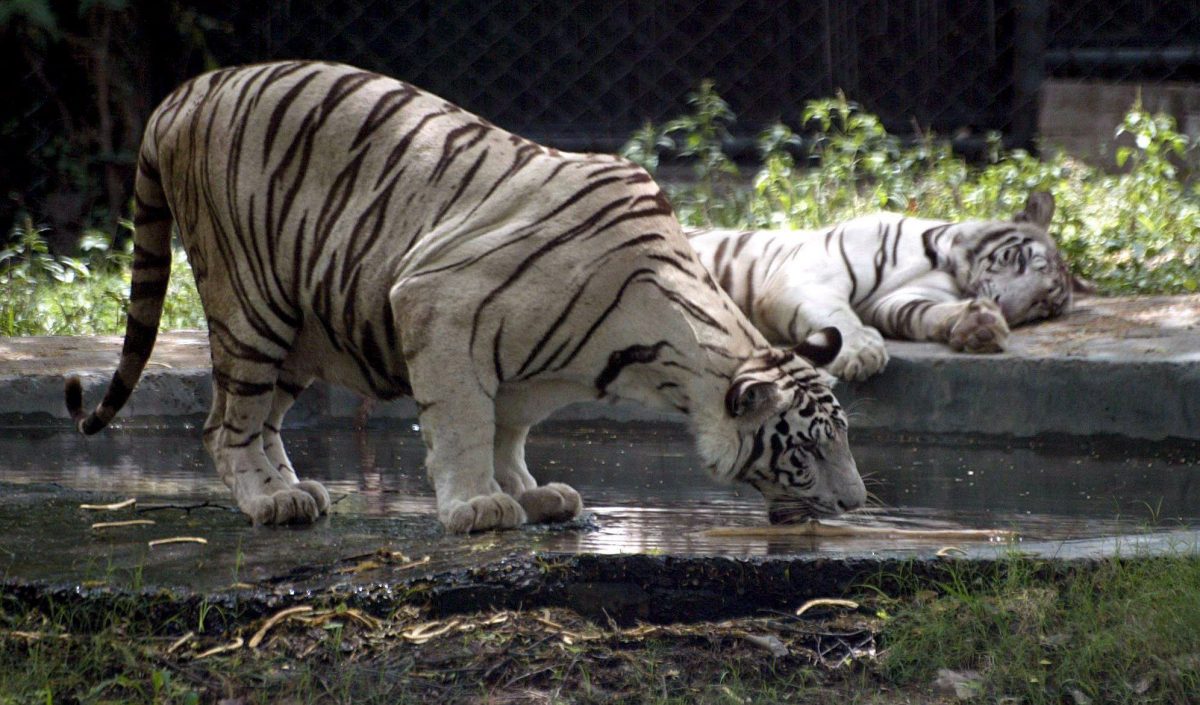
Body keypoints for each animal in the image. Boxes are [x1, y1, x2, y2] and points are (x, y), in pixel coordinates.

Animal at [64, 61, 866, 533]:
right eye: (809, 447)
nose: (857, 504)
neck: (647, 355)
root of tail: (179, 93)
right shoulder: (439, 303)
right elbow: (463, 420)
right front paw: (477, 505)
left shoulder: (533, 371)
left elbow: (508, 429)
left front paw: (532, 493)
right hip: (251, 303)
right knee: (225, 420)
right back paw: (270, 500)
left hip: (301, 326)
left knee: (251, 417)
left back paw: (296, 488)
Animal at [686, 193, 1081, 381]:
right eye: (1020, 260)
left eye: (1040, 306)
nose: (1006, 308)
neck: (944, 261)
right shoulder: (807, 277)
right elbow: (838, 316)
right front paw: (861, 352)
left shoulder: (898, 301)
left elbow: (924, 313)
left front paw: (979, 326)